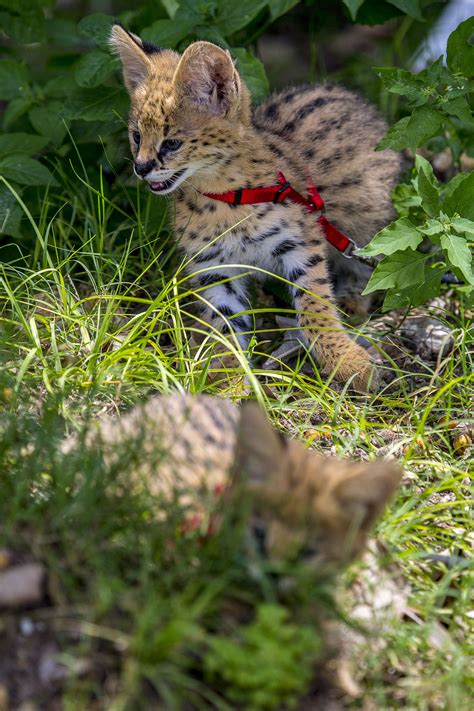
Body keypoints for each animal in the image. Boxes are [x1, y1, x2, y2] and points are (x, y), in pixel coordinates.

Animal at [110, 27, 400, 392]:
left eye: (171, 143)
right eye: (136, 136)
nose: (141, 168)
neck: (221, 198)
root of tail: (349, 96)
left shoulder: (302, 244)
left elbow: (315, 307)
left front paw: (348, 362)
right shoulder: (214, 266)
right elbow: (225, 325)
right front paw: (230, 380)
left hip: (369, 218)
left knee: (368, 264)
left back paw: (352, 298)